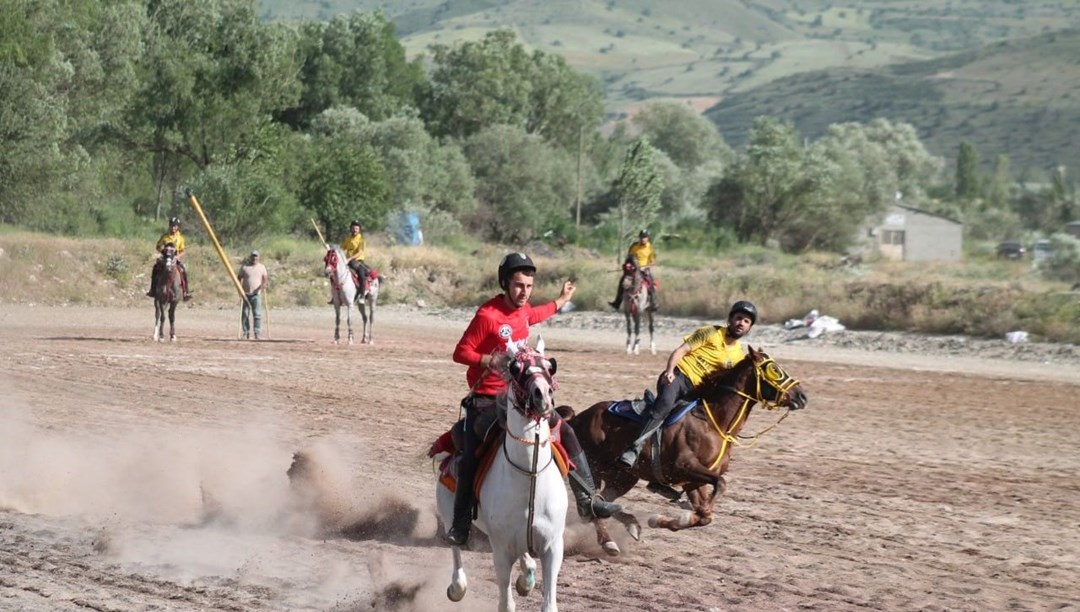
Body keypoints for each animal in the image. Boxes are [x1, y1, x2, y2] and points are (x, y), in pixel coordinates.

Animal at [434, 341, 570, 612]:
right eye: (515, 367)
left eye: (550, 366)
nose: (542, 395)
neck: (529, 477)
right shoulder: (501, 549)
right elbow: (506, 604)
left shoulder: (553, 547)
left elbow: (549, 603)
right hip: (447, 514)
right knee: (455, 547)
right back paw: (457, 586)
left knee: (526, 556)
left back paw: (527, 578)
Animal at [561, 349, 807, 556]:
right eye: (774, 369)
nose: (802, 396)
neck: (713, 422)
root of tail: (577, 419)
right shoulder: (685, 466)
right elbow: (720, 486)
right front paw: (692, 511)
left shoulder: (693, 481)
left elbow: (705, 516)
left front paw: (663, 520)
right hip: (591, 469)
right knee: (591, 505)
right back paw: (608, 542)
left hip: (624, 477)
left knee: (603, 502)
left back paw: (632, 524)